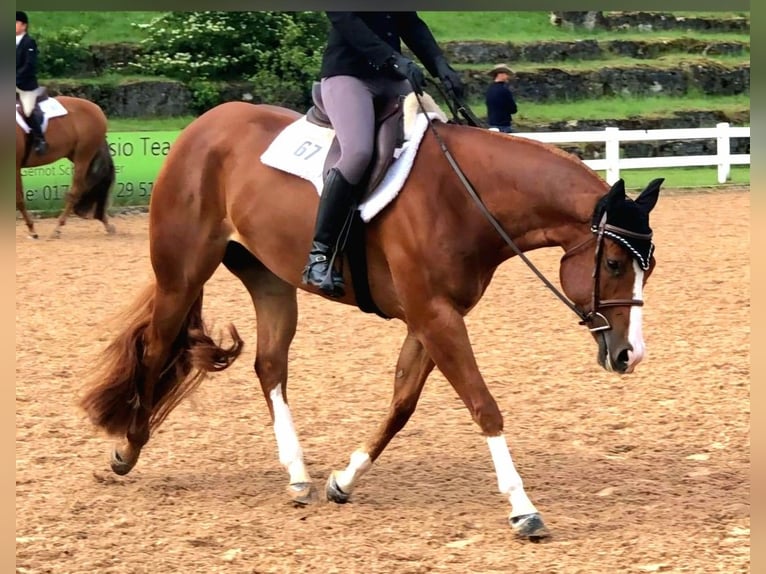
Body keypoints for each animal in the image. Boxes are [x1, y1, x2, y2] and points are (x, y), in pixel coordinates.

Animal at [16, 94, 116, 239]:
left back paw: (58, 228)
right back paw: (105, 222)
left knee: (76, 190)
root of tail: (96, 108)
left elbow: (19, 200)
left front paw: (32, 230)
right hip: (75, 154)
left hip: (83, 155)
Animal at [77, 94, 662, 541]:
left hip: (270, 281)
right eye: (613, 264)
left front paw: (343, 480)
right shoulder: (435, 317)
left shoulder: (432, 319)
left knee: (270, 367)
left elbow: (402, 403)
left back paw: (297, 475)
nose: (629, 356)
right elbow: (484, 406)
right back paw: (127, 448)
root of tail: (202, 127)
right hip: (182, 274)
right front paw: (523, 509)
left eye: (648, 269)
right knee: (157, 348)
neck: (466, 197)